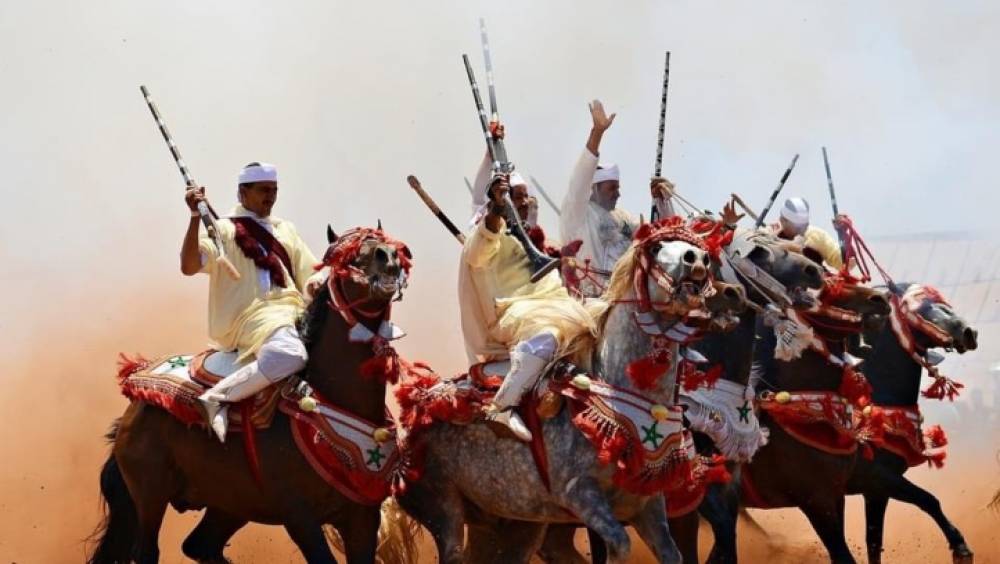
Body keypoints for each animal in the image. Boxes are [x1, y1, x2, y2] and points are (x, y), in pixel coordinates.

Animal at [88, 226, 424, 564]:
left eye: (388, 244)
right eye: (351, 256)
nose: (389, 256)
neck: (335, 398)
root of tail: (134, 403)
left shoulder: (362, 518)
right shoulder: (299, 515)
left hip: (230, 503)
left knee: (199, 545)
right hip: (150, 494)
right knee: (148, 550)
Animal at [394, 221, 732, 564]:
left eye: (698, 248)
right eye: (655, 248)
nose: (697, 259)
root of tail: (411, 420)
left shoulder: (648, 507)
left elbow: (671, 554)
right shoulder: (580, 494)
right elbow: (620, 545)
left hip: (511, 525)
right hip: (443, 509)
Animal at [848, 284, 980, 560]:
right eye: (920, 306)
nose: (969, 332)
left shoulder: (876, 491)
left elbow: (874, 542)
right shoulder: (880, 477)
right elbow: (929, 500)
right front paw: (960, 547)